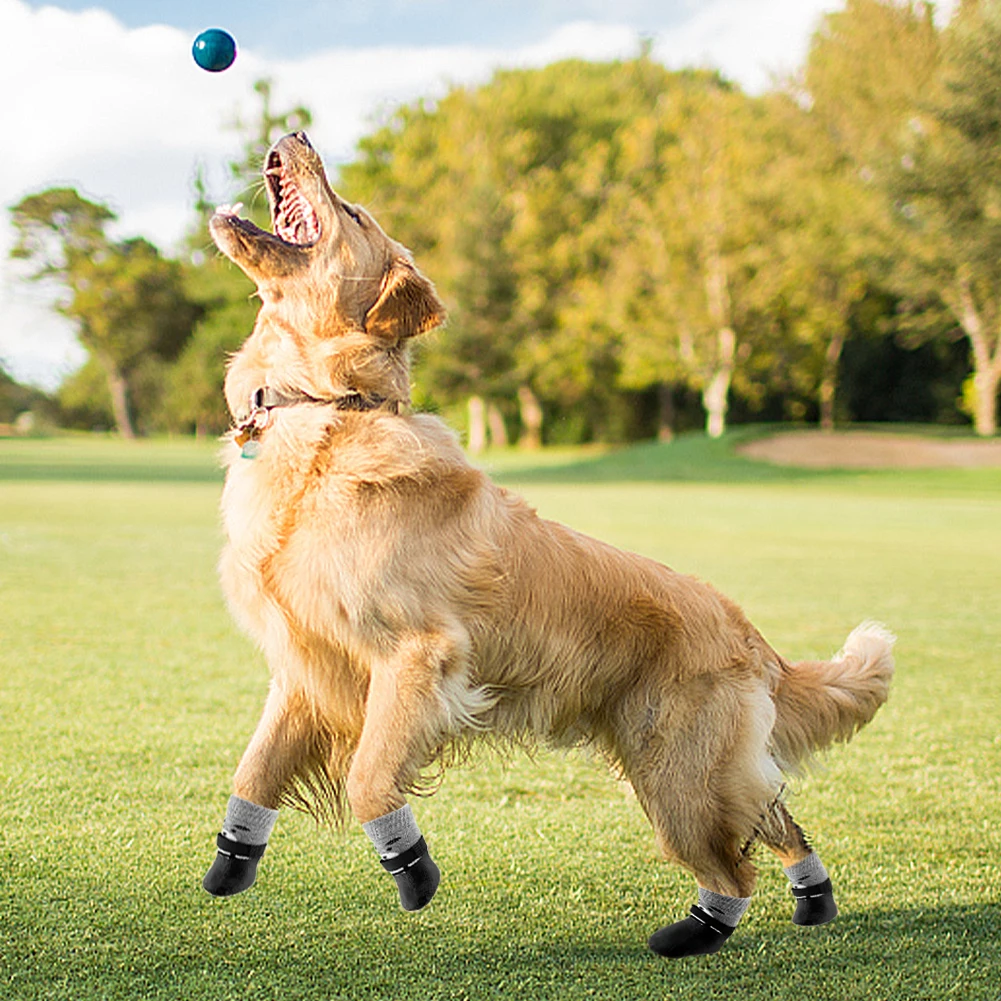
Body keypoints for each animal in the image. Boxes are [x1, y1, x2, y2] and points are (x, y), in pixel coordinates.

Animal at [201, 129, 892, 956]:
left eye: (355, 212)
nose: (299, 133)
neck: (327, 407)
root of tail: (750, 633)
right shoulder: (304, 666)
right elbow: (252, 773)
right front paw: (232, 860)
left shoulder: (417, 656)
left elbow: (369, 776)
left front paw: (410, 862)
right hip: (688, 768)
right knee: (773, 813)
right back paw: (811, 896)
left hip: (677, 774)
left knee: (734, 864)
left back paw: (694, 933)